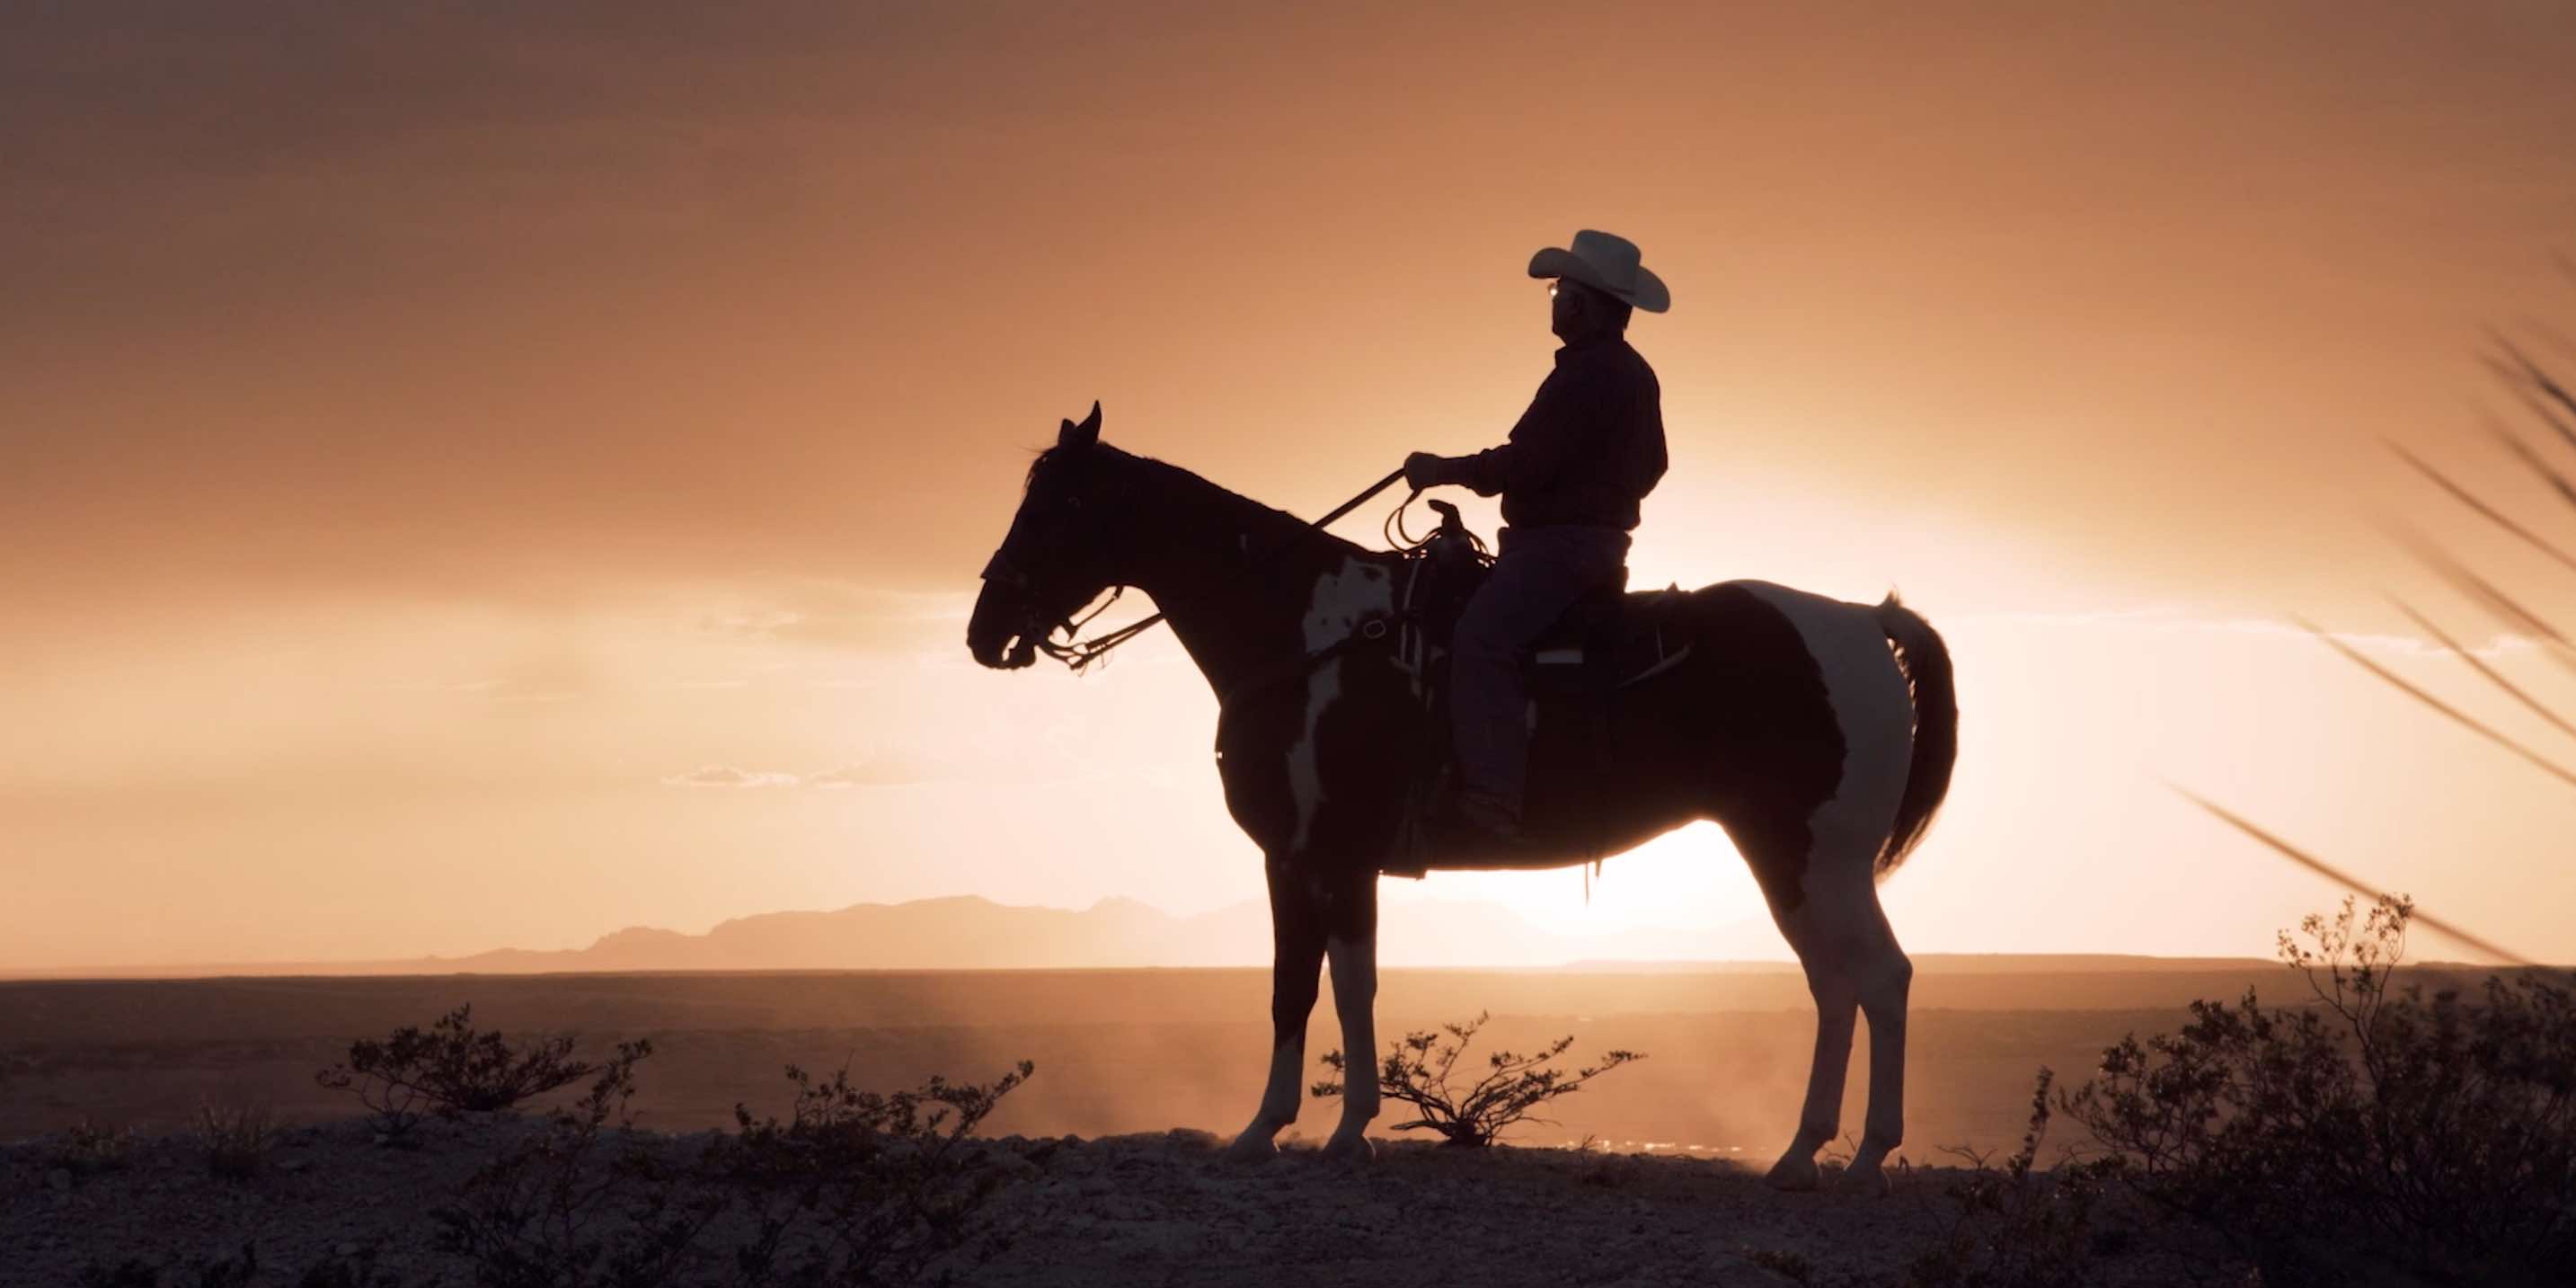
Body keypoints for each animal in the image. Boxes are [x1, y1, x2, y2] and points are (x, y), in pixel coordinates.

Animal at [968, 404, 1947, 1195]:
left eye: (1054, 506)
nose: (984, 632)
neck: (1305, 634)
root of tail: (1863, 620)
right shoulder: (1341, 862)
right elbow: (1349, 983)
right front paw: (1345, 1131)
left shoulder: (1302, 853)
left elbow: (1297, 986)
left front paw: (1270, 1132)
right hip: (1788, 855)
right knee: (1837, 983)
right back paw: (1803, 1153)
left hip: (1812, 856)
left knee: (1877, 978)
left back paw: (1860, 1157)